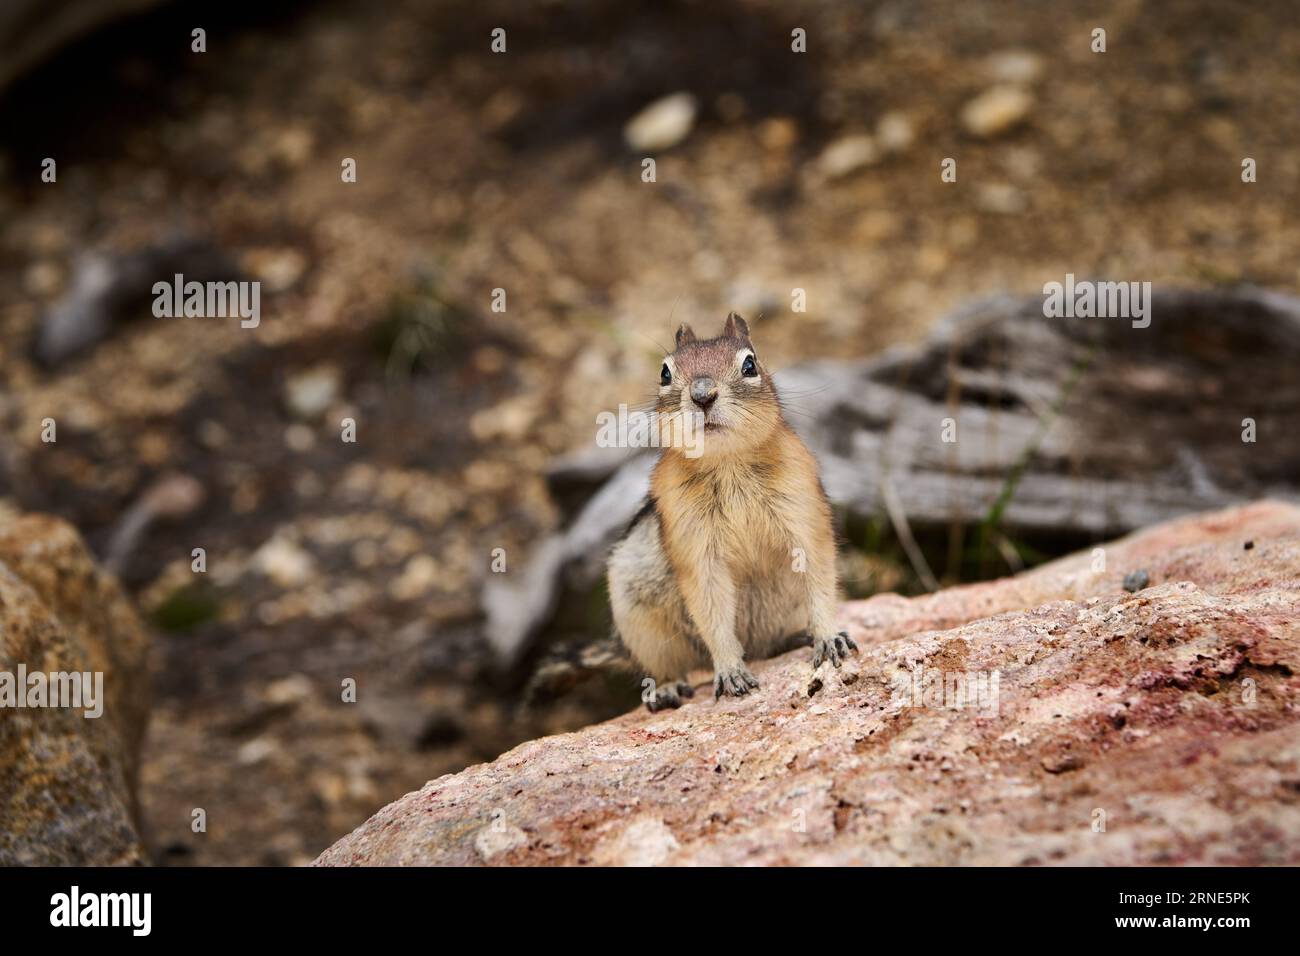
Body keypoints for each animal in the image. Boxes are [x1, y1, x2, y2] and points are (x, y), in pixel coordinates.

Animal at [607, 312, 856, 711]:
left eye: (750, 364)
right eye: (664, 372)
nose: (702, 395)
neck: (728, 462)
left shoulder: (802, 508)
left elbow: (818, 576)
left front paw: (829, 637)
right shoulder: (693, 542)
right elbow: (711, 607)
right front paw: (730, 671)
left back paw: (794, 638)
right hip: (638, 612)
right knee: (668, 666)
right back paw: (667, 688)